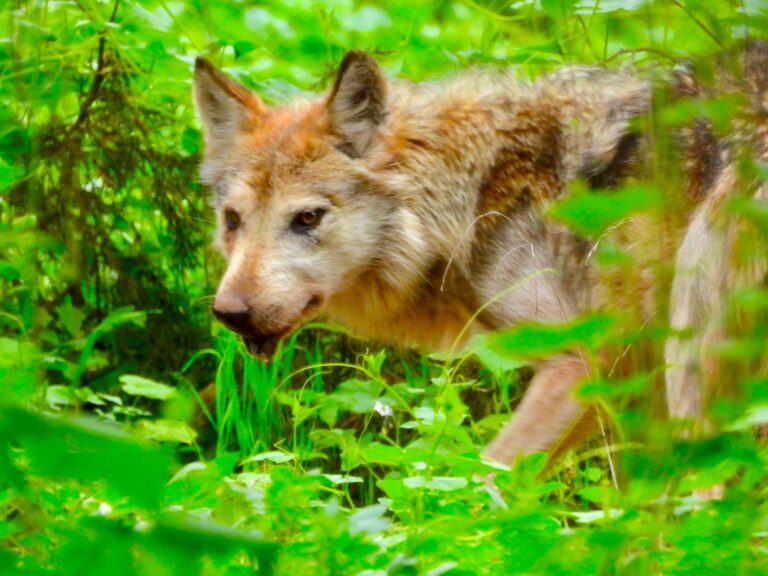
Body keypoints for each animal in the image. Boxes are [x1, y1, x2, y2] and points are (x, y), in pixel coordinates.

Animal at [192, 47, 767, 466]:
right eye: (233, 220)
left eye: (307, 218)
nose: (230, 313)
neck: (477, 196)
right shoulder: (626, 387)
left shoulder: (582, 360)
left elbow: (489, 482)